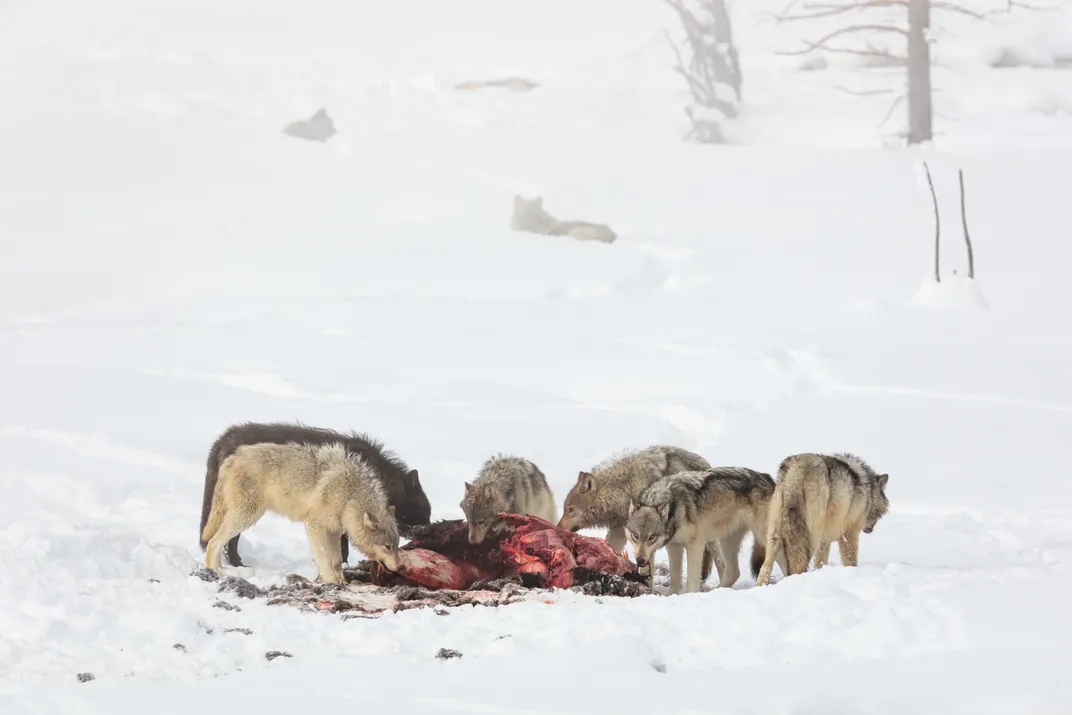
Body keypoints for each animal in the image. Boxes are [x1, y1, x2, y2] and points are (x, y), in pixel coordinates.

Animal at [199, 421, 430, 567]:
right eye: (423, 515)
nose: (427, 531)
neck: (376, 471)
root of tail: (222, 439)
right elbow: (341, 549)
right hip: (247, 509)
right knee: (228, 539)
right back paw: (237, 564)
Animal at [201, 441, 402, 584]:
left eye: (396, 545)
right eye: (387, 546)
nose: (400, 566)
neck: (350, 495)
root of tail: (234, 456)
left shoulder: (334, 531)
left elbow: (337, 560)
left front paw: (341, 580)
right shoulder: (315, 527)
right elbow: (324, 558)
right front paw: (331, 581)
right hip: (246, 516)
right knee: (213, 541)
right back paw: (215, 571)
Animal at [557, 445, 724, 583]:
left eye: (570, 510)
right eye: (565, 509)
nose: (558, 527)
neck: (624, 490)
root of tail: (706, 464)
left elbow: (646, 565)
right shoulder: (620, 530)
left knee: (720, 560)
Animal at [626, 467, 776, 594]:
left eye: (652, 537)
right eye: (635, 536)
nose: (640, 560)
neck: (675, 507)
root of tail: (768, 477)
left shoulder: (695, 544)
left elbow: (692, 577)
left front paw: (690, 595)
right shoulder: (674, 546)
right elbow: (675, 577)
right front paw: (672, 595)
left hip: (762, 536)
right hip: (726, 542)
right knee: (734, 572)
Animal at [754, 452, 890, 587]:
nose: (870, 530)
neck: (869, 492)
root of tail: (796, 470)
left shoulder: (824, 540)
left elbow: (820, 561)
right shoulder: (849, 533)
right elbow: (850, 560)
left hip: (774, 536)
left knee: (765, 567)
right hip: (810, 537)